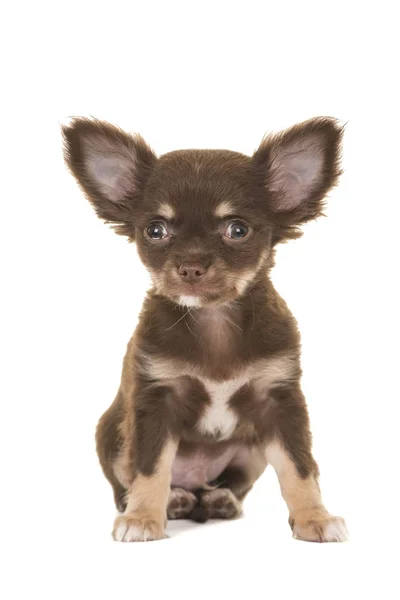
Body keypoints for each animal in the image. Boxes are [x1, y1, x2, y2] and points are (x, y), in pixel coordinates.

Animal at [61, 117, 346, 544]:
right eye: (155, 230)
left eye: (238, 230)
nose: (191, 267)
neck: (214, 319)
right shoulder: (154, 402)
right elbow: (150, 467)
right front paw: (142, 517)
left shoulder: (280, 401)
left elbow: (299, 467)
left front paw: (314, 517)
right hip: (113, 435)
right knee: (133, 481)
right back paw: (173, 500)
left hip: (251, 448)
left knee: (227, 485)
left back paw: (218, 500)